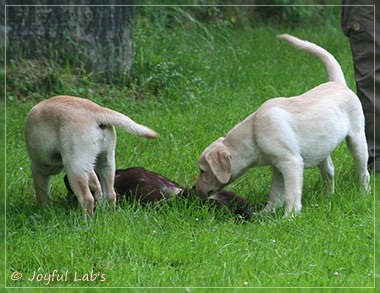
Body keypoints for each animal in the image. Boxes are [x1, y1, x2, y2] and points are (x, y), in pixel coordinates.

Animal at [24, 94, 159, 216]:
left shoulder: (38, 169)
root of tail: (97, 111)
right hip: (106, 162)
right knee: (110, 194)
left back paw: (86, 223)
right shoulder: (90, 167)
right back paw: (107, 216)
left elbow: (42, 194)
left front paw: (45, 211)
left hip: (74, 167)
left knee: (87, 198)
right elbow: (95, 183)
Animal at [197, 34, 370, 217]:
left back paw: (363, 194)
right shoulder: (277, 167)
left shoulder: (290, 163)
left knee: (363, 172)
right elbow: (275, 194)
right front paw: (264, 214)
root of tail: (338, 83)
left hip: (357, 139)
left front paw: (289, 216)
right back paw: (327, 198)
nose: (195, 189)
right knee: (329, 171)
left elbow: (291, 194)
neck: (253, 134)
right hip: (322, 146)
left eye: (202, 170)